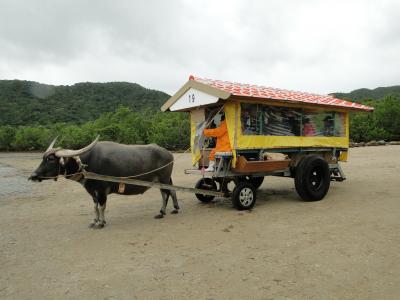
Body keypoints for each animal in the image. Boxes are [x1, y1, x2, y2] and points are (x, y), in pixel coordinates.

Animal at [30, 137, 180, 229]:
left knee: (165, 193)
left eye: (50, 159)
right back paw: (175, 208)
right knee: (171, 191)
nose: (33, 176)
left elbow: (102, 207)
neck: (87, 163)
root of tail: (169, 153)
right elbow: (95, 207)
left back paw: (161, 212)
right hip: (165, 180)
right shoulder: (92, 192)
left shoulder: (102, 191)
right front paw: (94, 221)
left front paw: (101, 222)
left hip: (163, 179)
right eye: (43, 158)